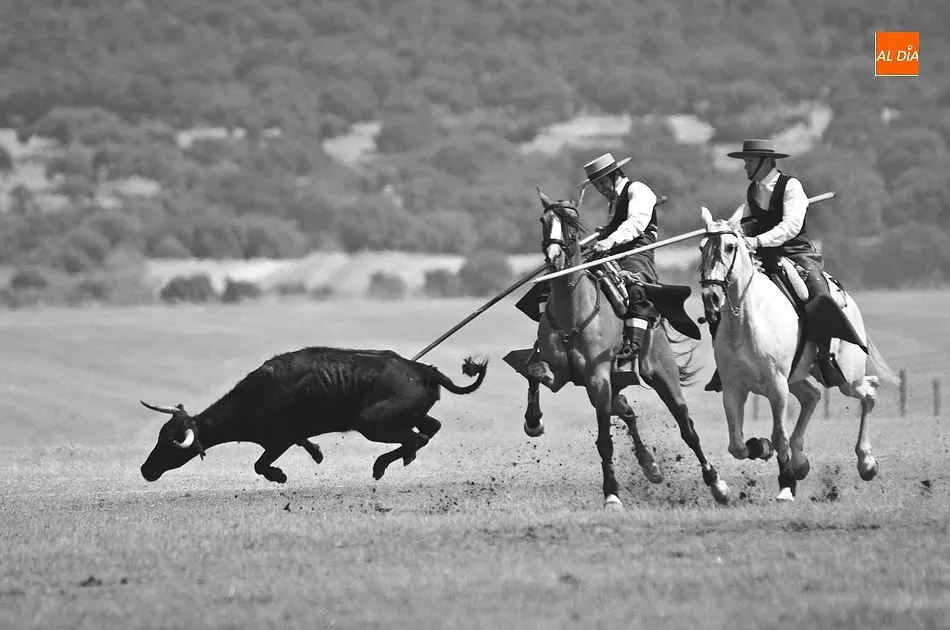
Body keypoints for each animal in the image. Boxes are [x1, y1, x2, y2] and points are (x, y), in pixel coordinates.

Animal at [521, 189, 730, 509]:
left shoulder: (597, 379)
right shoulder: (560, 372)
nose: (554, 258)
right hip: (615, 385)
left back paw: (716, 484)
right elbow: (533, 371)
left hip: (662, 377)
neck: (574, 310)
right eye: (544, 221)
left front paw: (611, 493)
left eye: (572, 224)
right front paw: (534, 422)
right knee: (628, 412)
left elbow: (605, 442)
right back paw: (650, 465)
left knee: (688, 429)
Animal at [697, 207, 899, 500]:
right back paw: (801, 461)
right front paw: (763, 448)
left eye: (730, 246)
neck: (745, 321)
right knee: (812, 396)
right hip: (799, 377)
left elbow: (779, 435)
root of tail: (848, 301)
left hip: (845, 379)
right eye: (702, 248)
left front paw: (786, 484)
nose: (710, 297)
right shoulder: (734, 389)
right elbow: (737, 445)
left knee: (869, 392)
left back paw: (866, 463)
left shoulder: (777, 385)